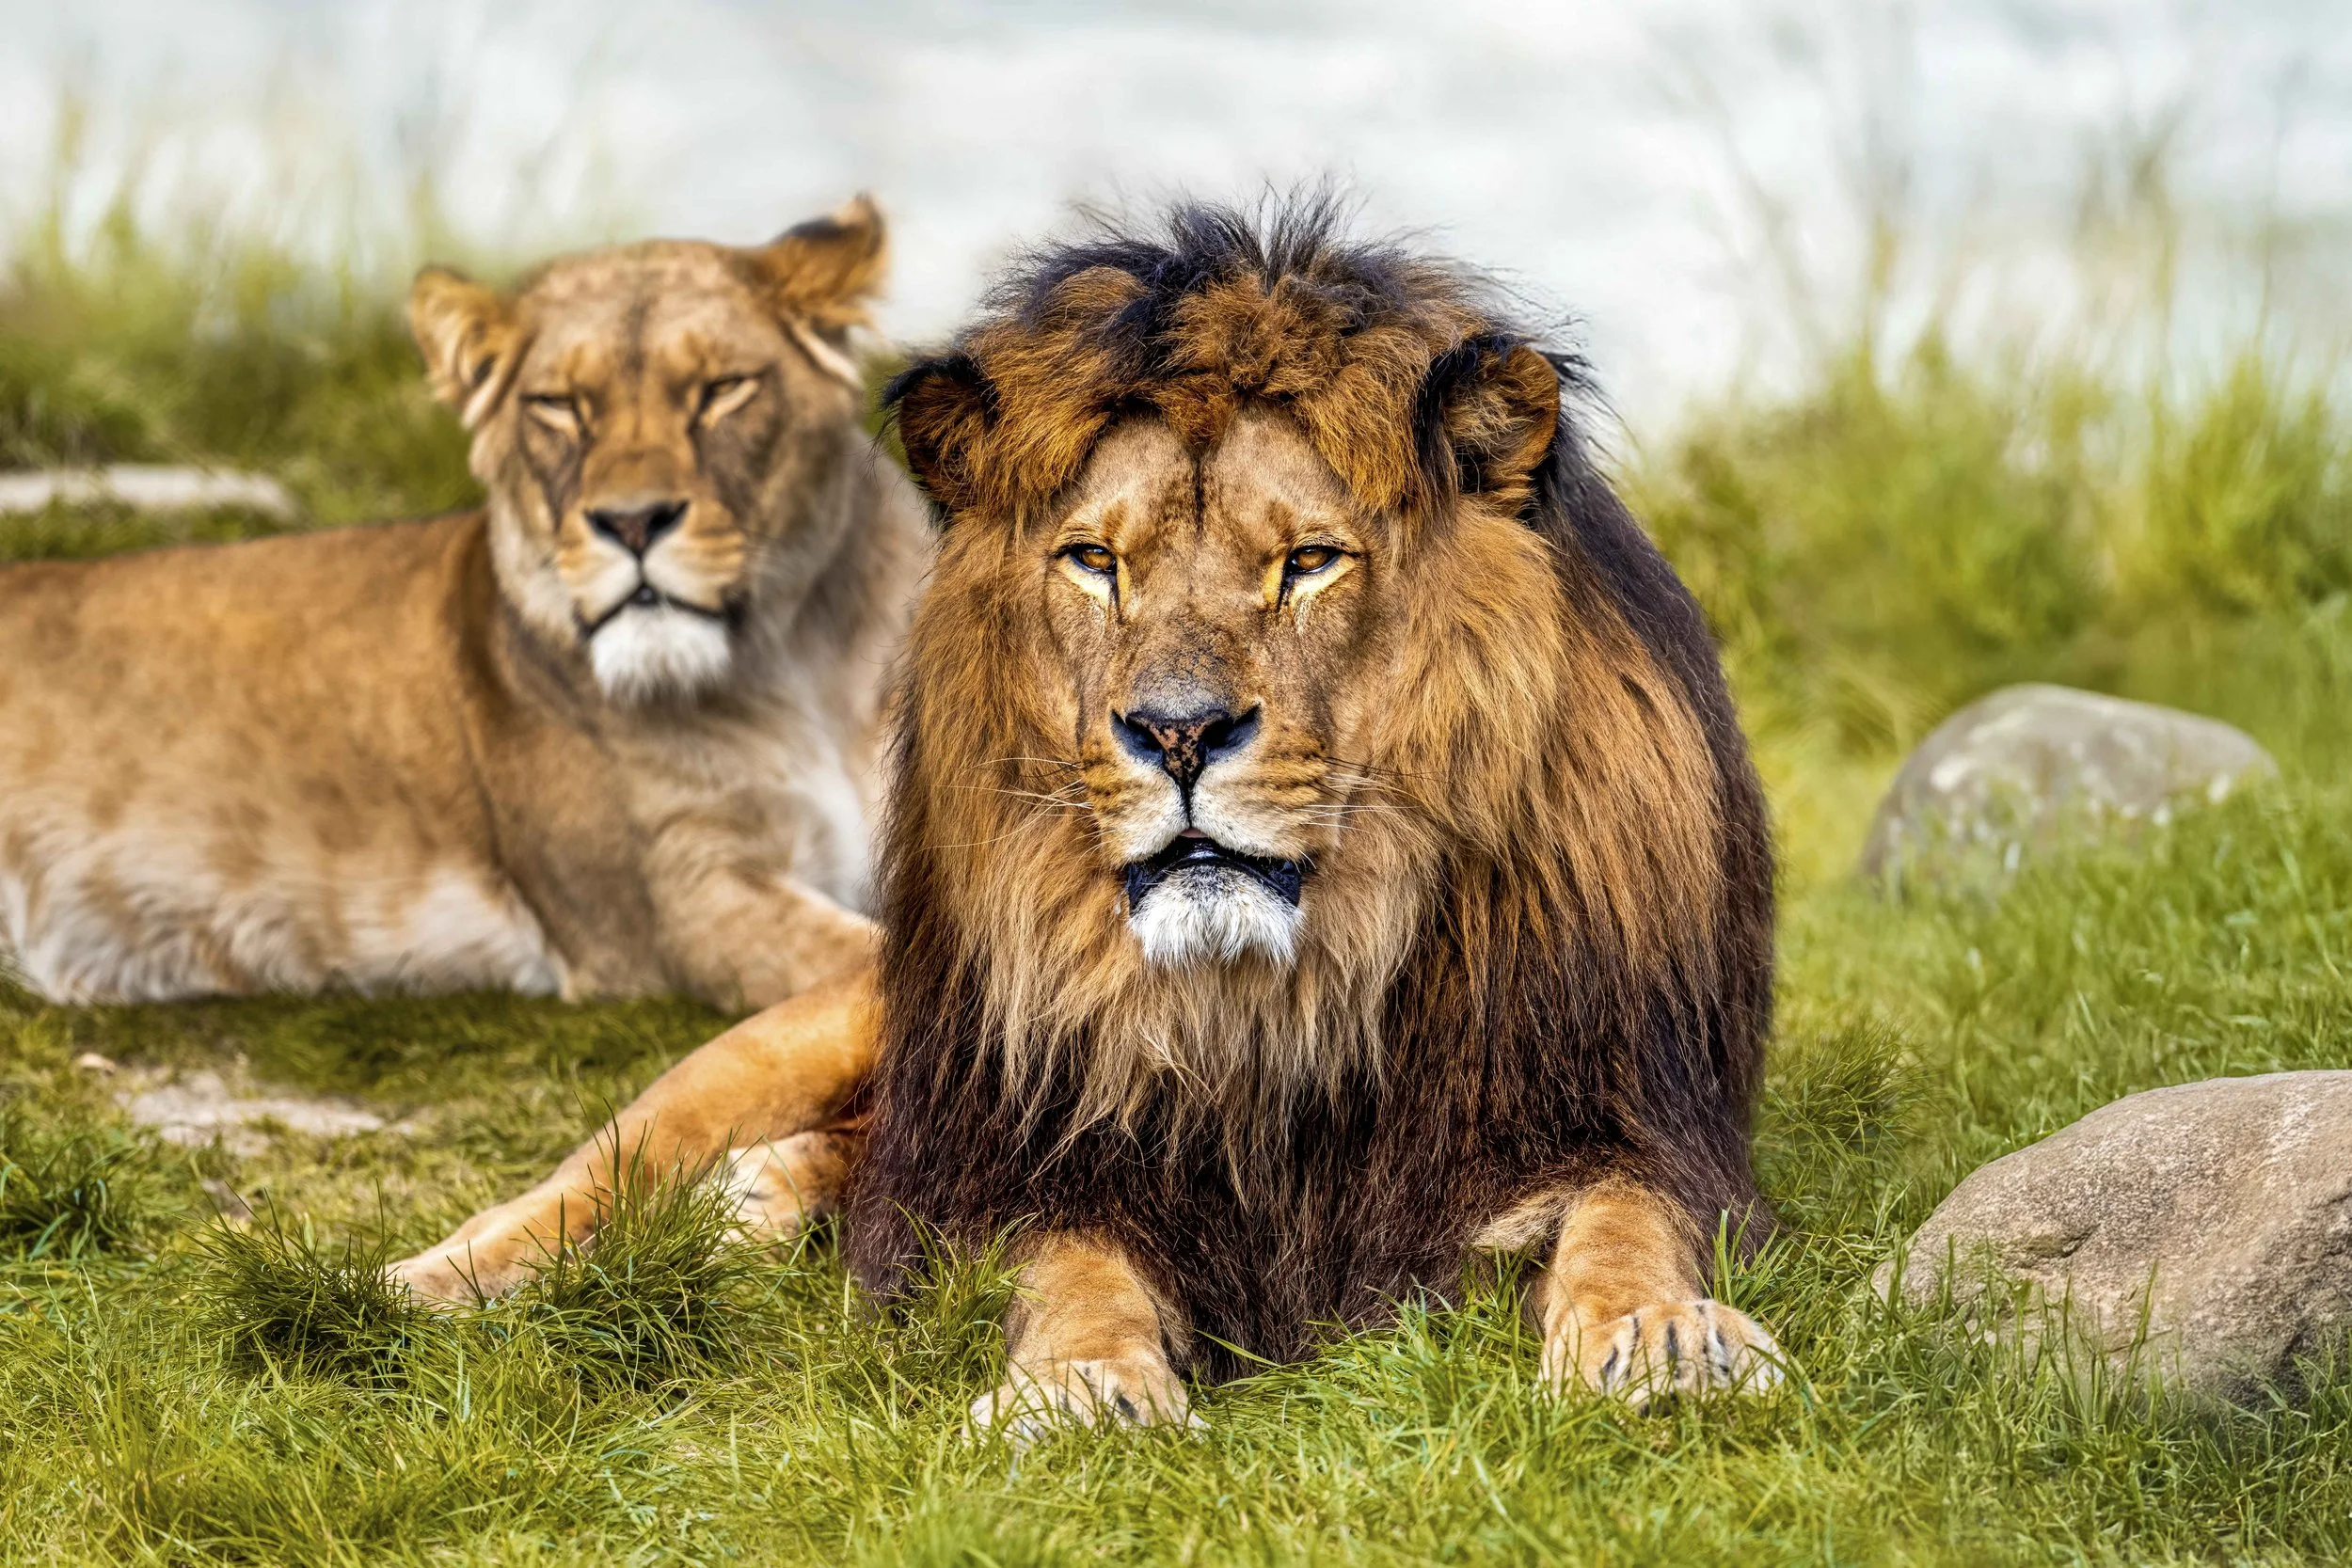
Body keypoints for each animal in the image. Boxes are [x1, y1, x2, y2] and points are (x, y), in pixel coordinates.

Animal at [391, 197, 1782, 1427]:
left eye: (1308, 561)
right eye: (1096, 563)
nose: (1176, 731)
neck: (1281, 999)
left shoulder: (1617, 1114)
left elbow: (1627, 1224)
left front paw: (1662, 1338)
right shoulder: (1036, 1163)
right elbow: (1073, 1275)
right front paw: (1075, 1387)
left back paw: (764, 1199)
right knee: (600, 1170)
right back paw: (407, 1285)